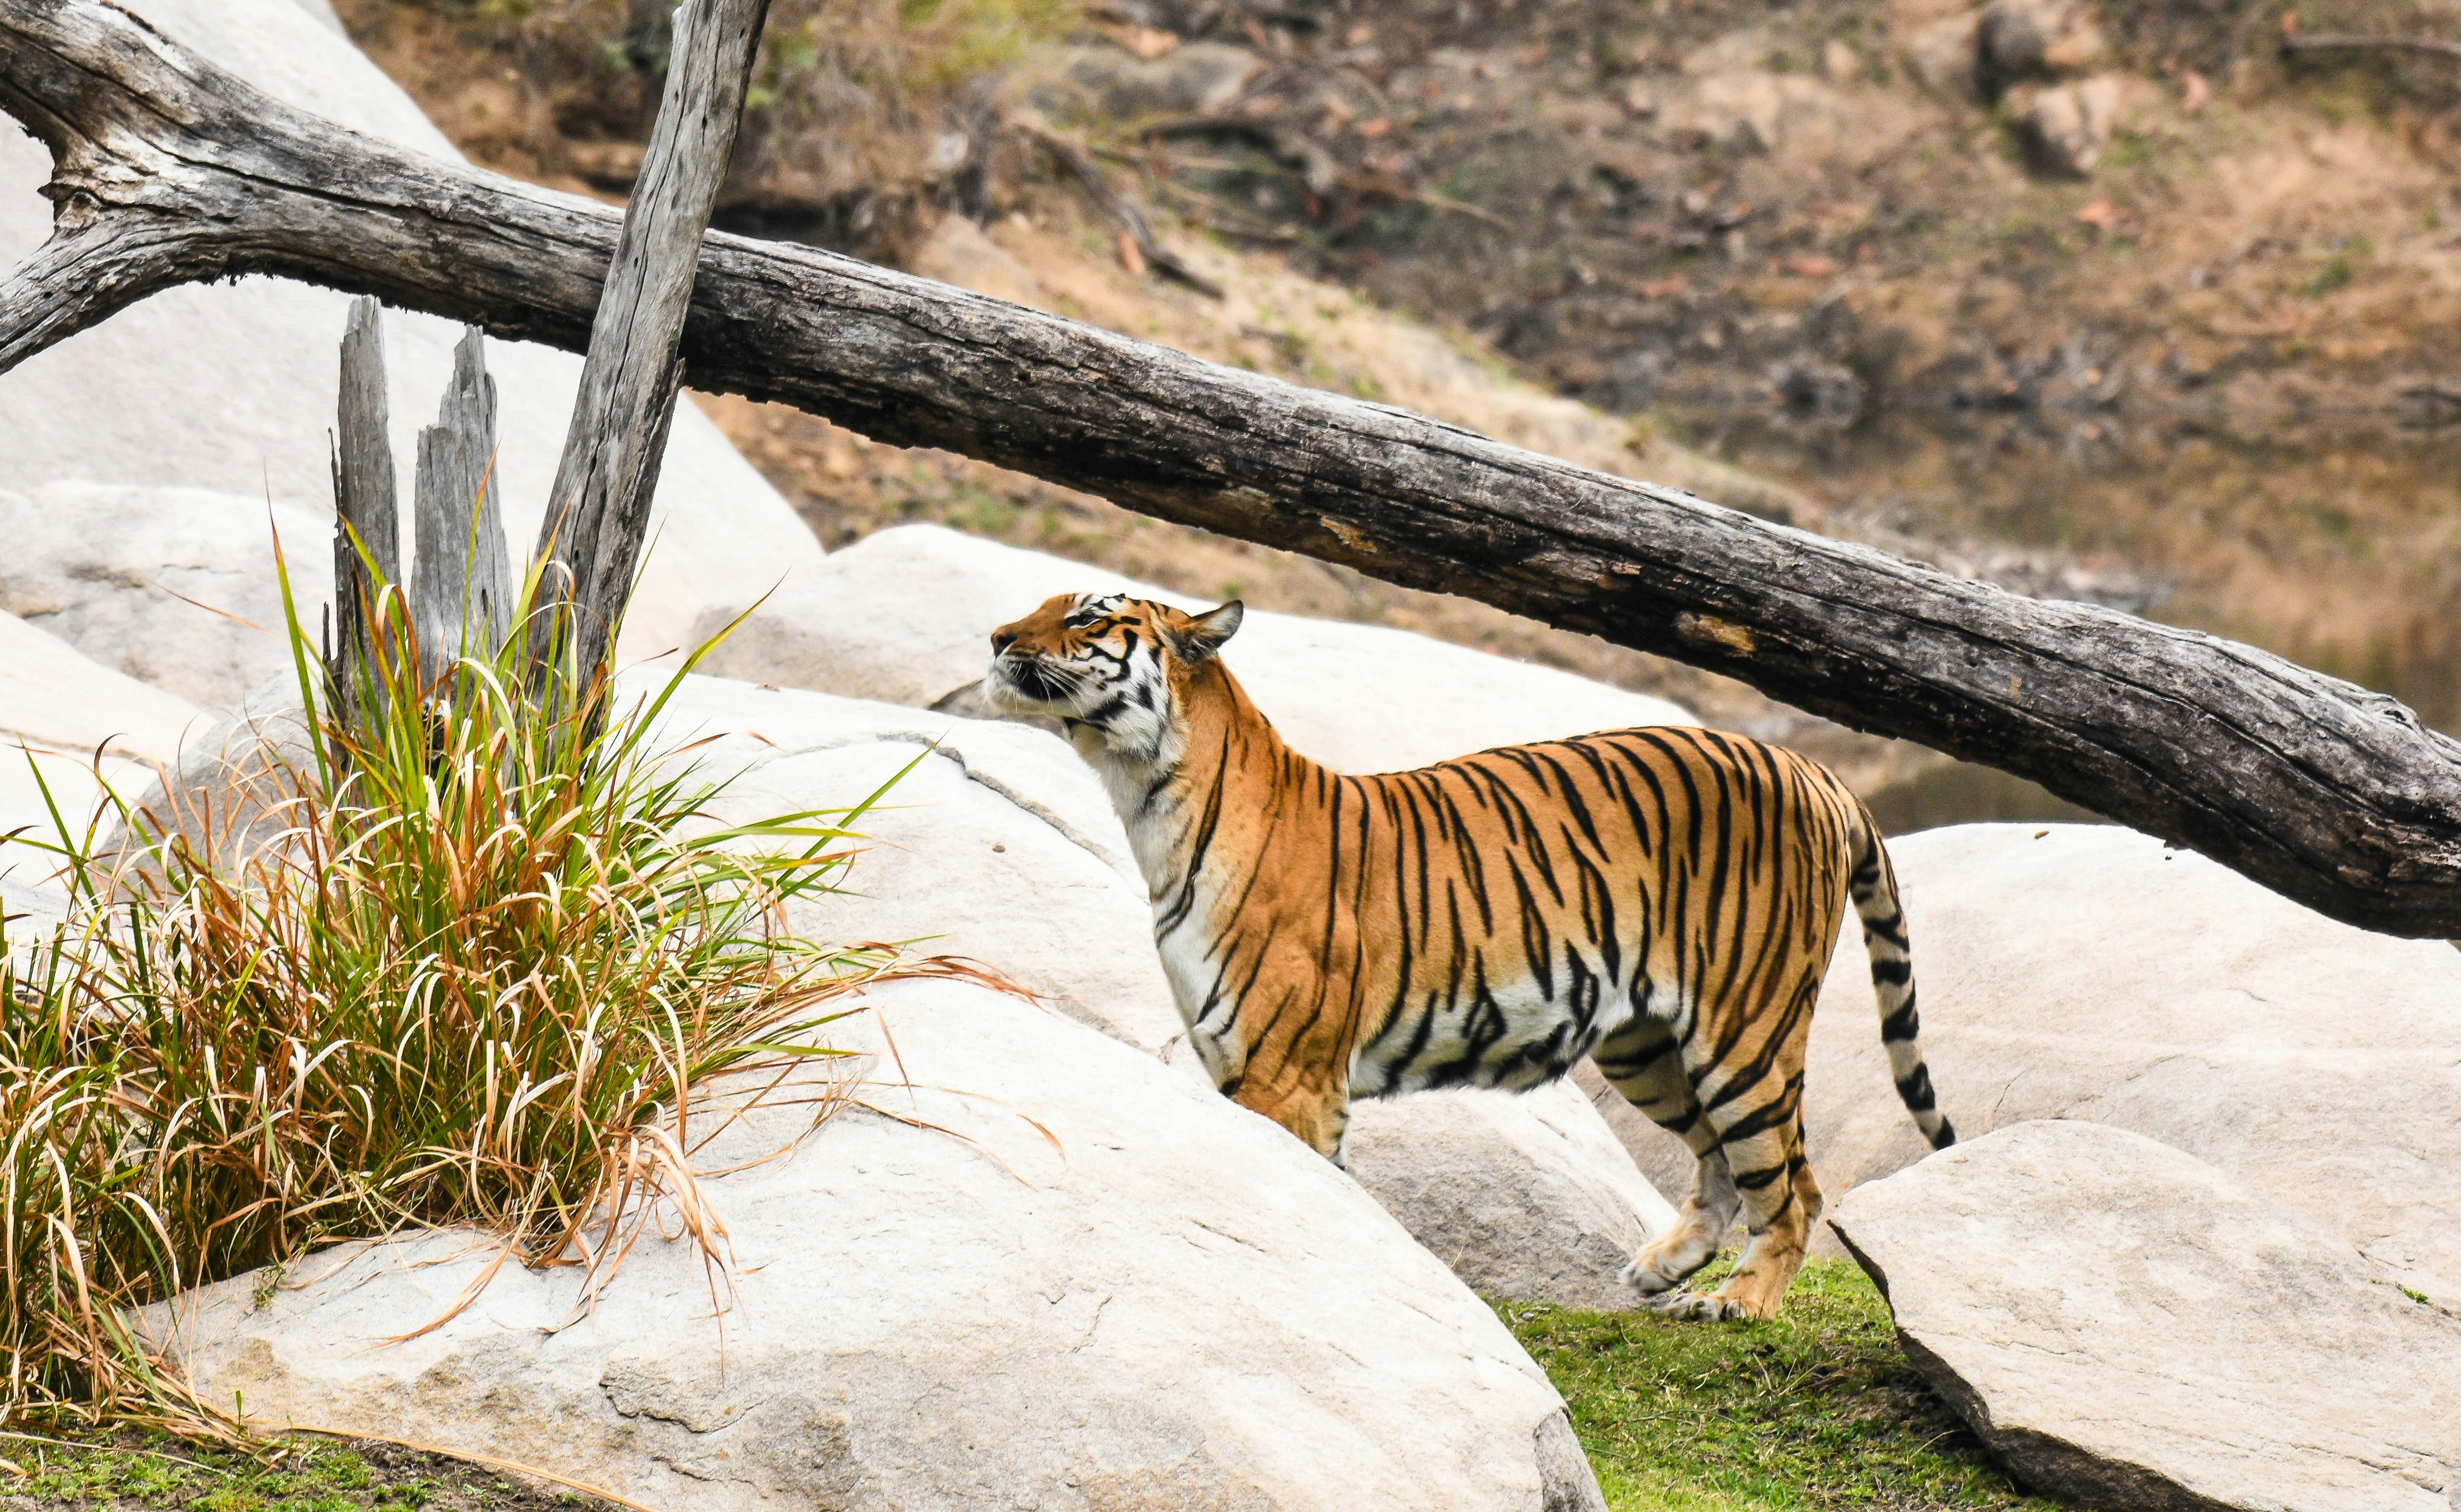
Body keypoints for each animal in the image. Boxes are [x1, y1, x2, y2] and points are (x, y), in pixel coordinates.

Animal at [982, 591, 1955, 1321]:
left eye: (1086, 617)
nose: (994, 637)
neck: (1146, 795)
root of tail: (1812, 768)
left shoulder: (1286, 1078)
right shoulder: (1244, 1067)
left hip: (1743, 1029)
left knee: (1793, 1187)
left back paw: (1736, 1302)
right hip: (1645, 1045)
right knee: (1721, 1164)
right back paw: (1658, 1270)